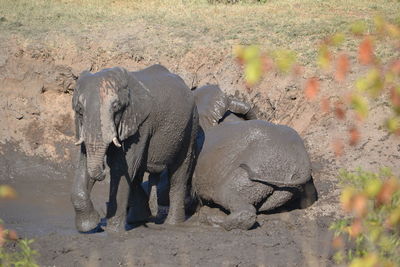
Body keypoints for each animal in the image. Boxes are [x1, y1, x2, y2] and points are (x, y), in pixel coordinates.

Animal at [71, 64, 199, 232]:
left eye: (116, 107)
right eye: (79, 109)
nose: (103, 170)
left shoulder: (140, 123)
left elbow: (121, 168)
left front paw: (113, 231)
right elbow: (84, 163)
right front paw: (89, 225)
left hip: (191, 125)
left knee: (179, 173)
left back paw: (172, 224)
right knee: (139, 174)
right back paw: (138, 219)